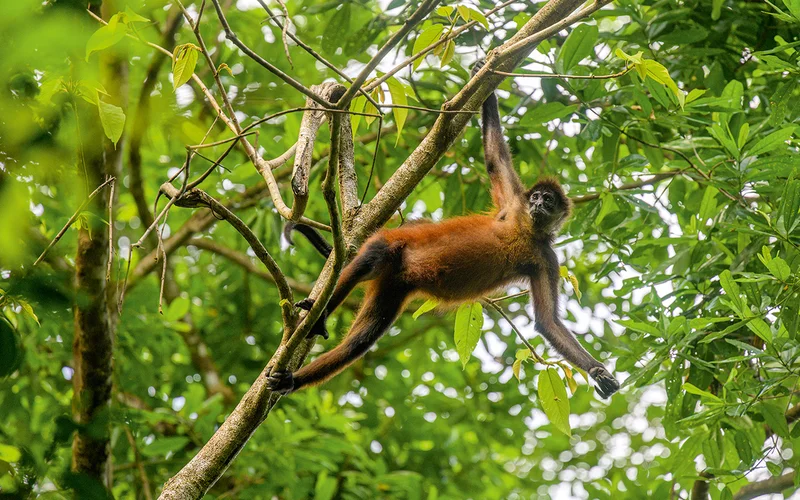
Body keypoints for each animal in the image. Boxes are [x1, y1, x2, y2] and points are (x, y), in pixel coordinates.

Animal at [267, 64, 620, 399]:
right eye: (535, 197)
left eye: (548, 200)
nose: (538, 204)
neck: (526, 231)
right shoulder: (513, 205)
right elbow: (495, 156)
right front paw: (485, 77)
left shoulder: (546, 257)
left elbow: (547, 322)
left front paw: (597, 372)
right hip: (392, 244)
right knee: (371, 257)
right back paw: (319, 316)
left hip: (394, 287)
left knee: (362, 340)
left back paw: (292, 380)